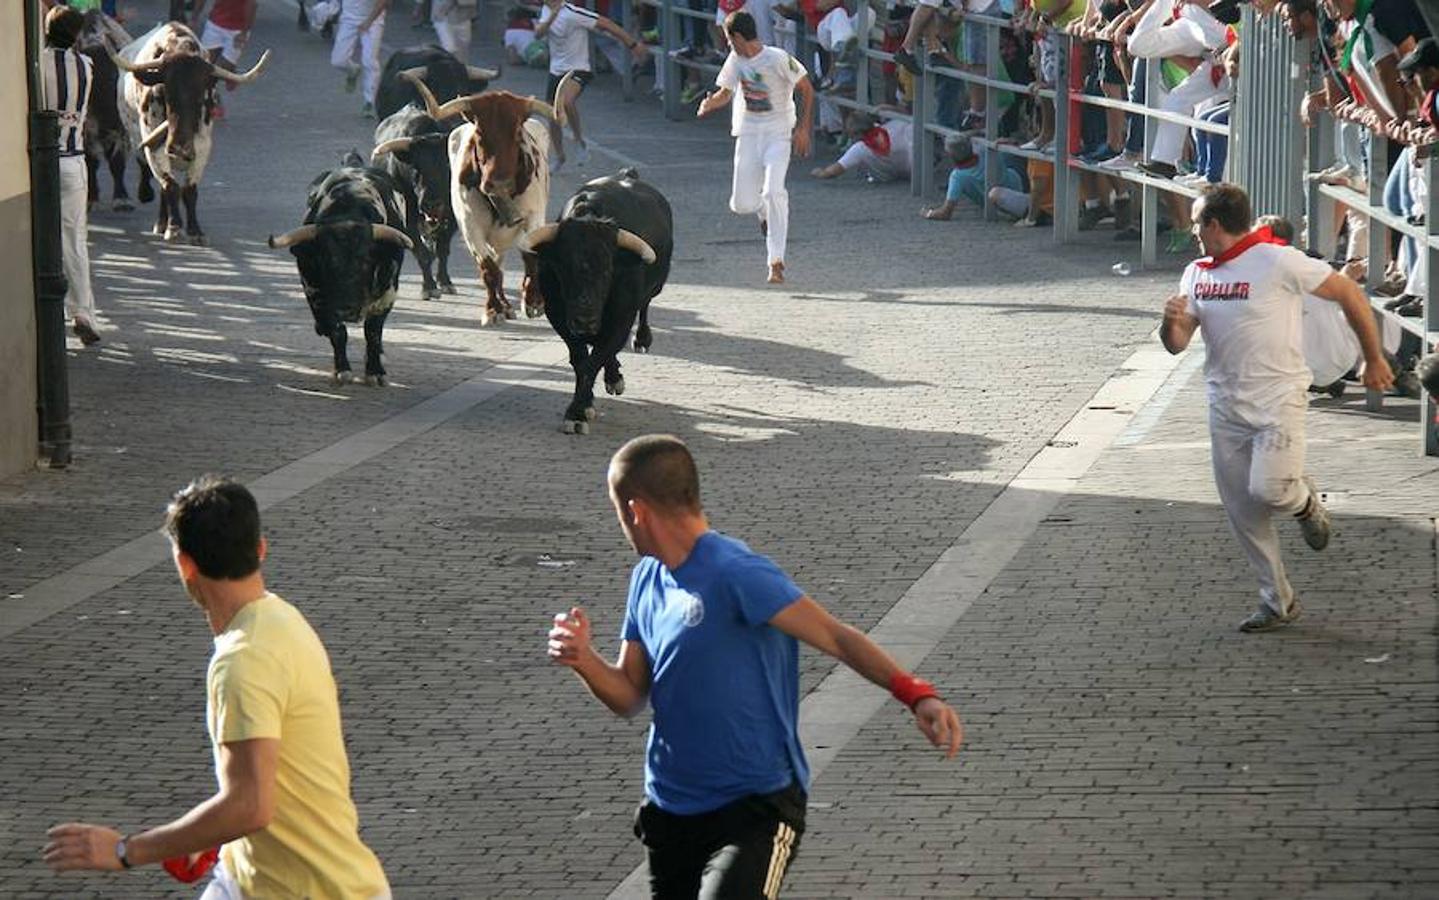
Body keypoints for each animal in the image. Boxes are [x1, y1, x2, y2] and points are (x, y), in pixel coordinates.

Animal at [110, 23, 269, 243]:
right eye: (167, 91)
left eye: (201, 95)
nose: (179, 148)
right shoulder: (154, 146)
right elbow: (170, 186)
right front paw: (174, 226)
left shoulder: (202, 146)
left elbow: (189, 190)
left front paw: (195, 231)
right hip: (135, 136)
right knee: (156, 178)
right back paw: (160, 219)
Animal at [267, 159, 414, 383]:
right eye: (325, 260)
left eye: (366, 259)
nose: (346, 310)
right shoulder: (314, 290)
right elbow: (337, 331)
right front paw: (342, 369)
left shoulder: (388, 292)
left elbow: (373, 331)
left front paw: (375, 371)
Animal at [520, 171, 670, 434]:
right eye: (563, 266)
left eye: (609, 269)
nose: (585, 320)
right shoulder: (559, 318)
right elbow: (581, 360)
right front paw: (584, 406)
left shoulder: (621, 319)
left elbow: (595, 360)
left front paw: (577, 412)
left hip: (654, 290)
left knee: (644, 308)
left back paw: (641, 341)